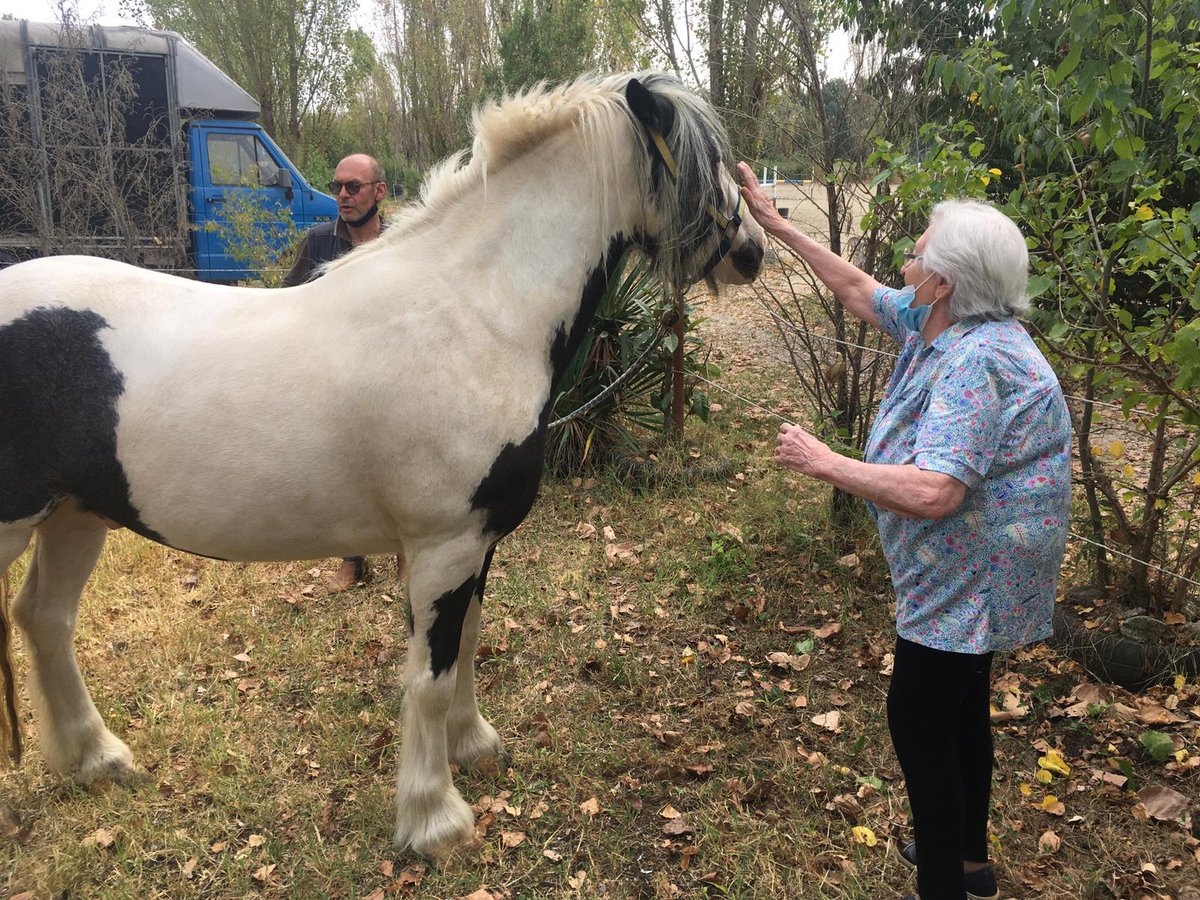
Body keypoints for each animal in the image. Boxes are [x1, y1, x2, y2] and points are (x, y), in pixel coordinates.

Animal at [0, 72, 765, 855]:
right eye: (699, 161)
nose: (753, 251)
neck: (473, 314)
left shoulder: (475, 545)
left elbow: (467, 644)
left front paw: (473, 745)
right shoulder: (442, 548)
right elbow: (429, 675)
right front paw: (433, 818)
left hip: (75, 517)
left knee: (46, 619)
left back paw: (98, 760)